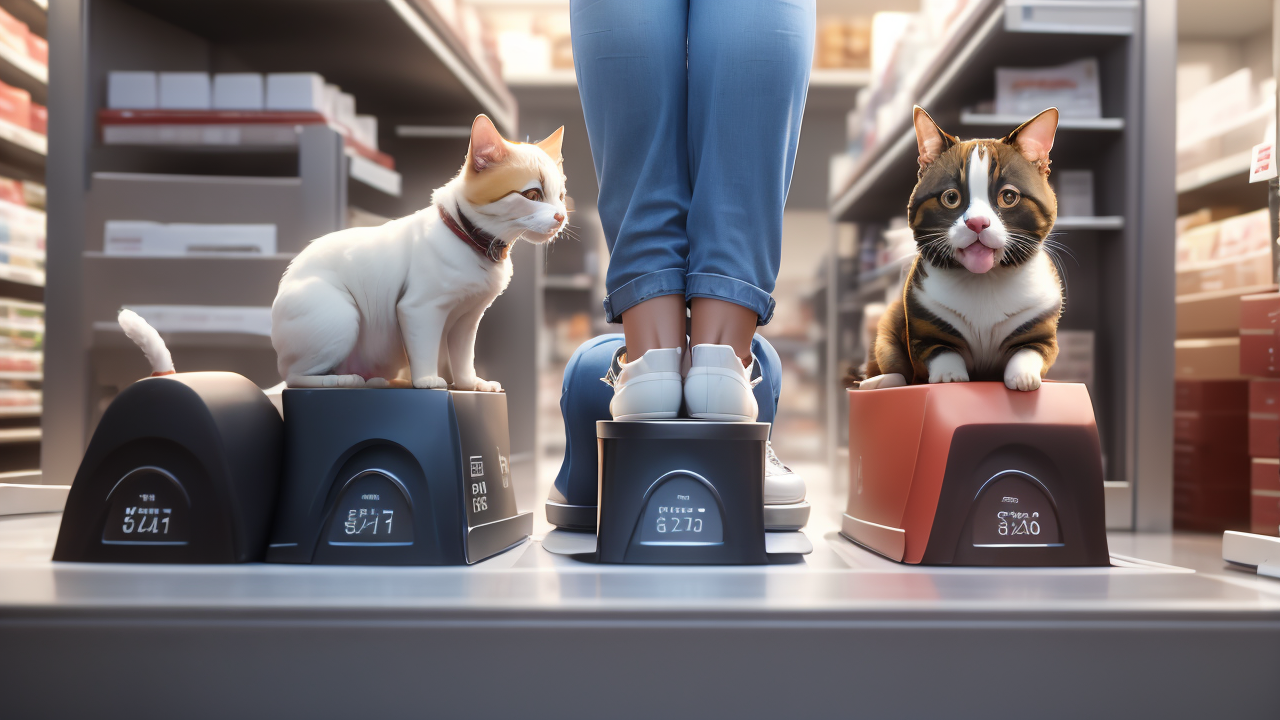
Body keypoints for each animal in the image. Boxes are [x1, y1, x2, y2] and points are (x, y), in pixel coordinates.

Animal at [272, 114, 568, 389]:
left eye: (561, 196)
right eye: (532, 195)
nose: (561, 216)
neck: (474, 241)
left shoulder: (467, 320)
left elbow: (463, 358)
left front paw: (471, 384)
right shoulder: (419, 310)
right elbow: (425, 350)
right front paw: (427, 380)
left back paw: (373, 380)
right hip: (342, 317)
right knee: (294, 377)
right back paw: (343, 380)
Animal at [860, 103, 1059, 389]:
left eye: (1009, 196)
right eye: (951, 197)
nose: (977, 223)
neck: (985, 281)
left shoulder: (1042, 329)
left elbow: (1030, 350)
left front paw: (1023, 377)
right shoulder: (922, 327)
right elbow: (940, 349)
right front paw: (949, 375)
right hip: (888, 325)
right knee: (892, 360)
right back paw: (880, 381)